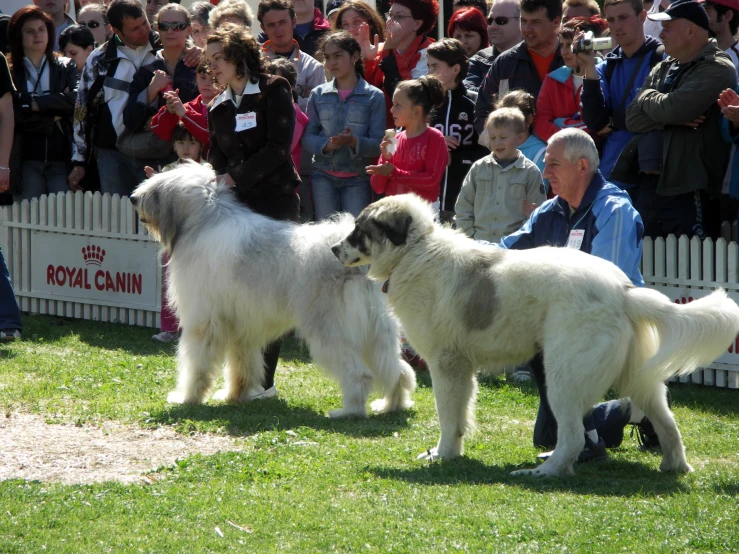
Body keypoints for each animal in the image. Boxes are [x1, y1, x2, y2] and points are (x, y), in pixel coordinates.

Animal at [132, 164, 416, 418]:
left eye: (155, 191)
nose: (133, 199)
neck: (204, 223)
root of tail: (357, 263)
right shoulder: (241, 327)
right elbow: (241, 365)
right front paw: (234, 395)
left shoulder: (204, 323)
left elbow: (196, 366)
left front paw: (186, 398)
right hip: (377, 332)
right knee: (398, 371)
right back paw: (392, 405)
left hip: (331, 331)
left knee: (360, 374)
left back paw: (349, 412)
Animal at [332, 194, 739, 474]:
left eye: (360, 230)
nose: (334, 248)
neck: (415, 252)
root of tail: (623, 289)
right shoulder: (461, 369)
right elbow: (460, 418)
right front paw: (449, 453)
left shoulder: (446, 365)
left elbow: (448, 418)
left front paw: (442, 455)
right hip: (638, 378)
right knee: (667, 424)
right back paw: (674, 466)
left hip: (563, 375)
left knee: (573, 435)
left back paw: (544, 472)